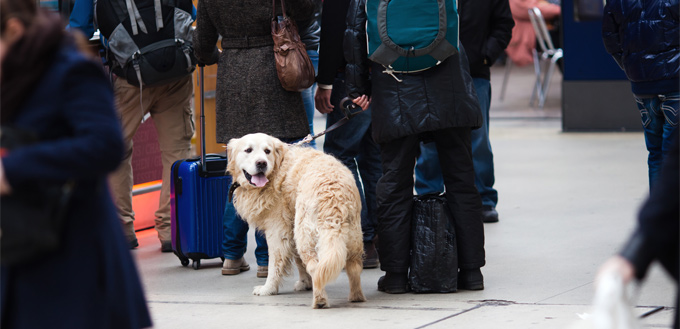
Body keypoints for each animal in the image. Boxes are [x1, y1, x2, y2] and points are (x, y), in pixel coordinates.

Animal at [226, 132, 366, 306]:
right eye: (248, 150)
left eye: (267, 151)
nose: (261, 163)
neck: (277, 171)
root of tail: (334, 195)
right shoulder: (292, 228)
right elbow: (299, 262)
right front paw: (305, 283)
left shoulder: (277, 231)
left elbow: (275, 264)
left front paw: (268, 289)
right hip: (352, 237)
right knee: (354, 267)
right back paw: (356, 297)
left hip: (305, 237)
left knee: (315, 267)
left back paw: (319, 300)